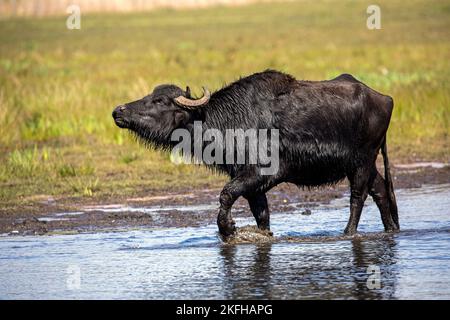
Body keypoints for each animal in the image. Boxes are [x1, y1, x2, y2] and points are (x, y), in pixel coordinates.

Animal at [113, 71, 400, 239]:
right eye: (150, 95)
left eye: (161, 101)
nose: (118, 111)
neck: (229, 120)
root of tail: (385, 98)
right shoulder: (252, 184)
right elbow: (261, 214)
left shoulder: (260, 173)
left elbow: (226, 194)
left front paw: (227, 229)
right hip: (366, 165)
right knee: (380, 191)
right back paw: (391, 230)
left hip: (361, 163)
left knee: (357, 198)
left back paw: (348, 233)